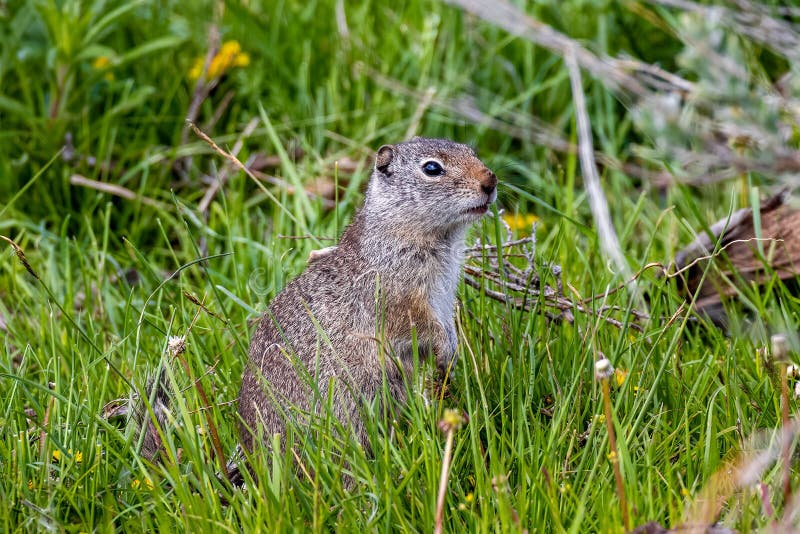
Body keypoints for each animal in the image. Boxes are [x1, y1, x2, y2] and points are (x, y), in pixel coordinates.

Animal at [137, 137, 498, 470]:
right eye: (432, 168)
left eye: (472, 150)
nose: (490, 180)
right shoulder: (399, 301)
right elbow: (421, 328)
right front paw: (447, 351)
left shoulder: (442, 300)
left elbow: (445, 326)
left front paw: (450, 353)